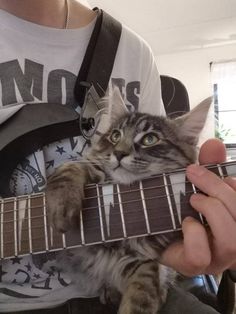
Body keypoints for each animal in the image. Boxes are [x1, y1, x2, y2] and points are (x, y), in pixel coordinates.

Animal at [45, 89, 210, 314]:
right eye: (115, 136)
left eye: (150, 139)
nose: (119, 153)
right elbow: (72, 167)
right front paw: (61, 206)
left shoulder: (145, 263)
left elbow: (141, 296)